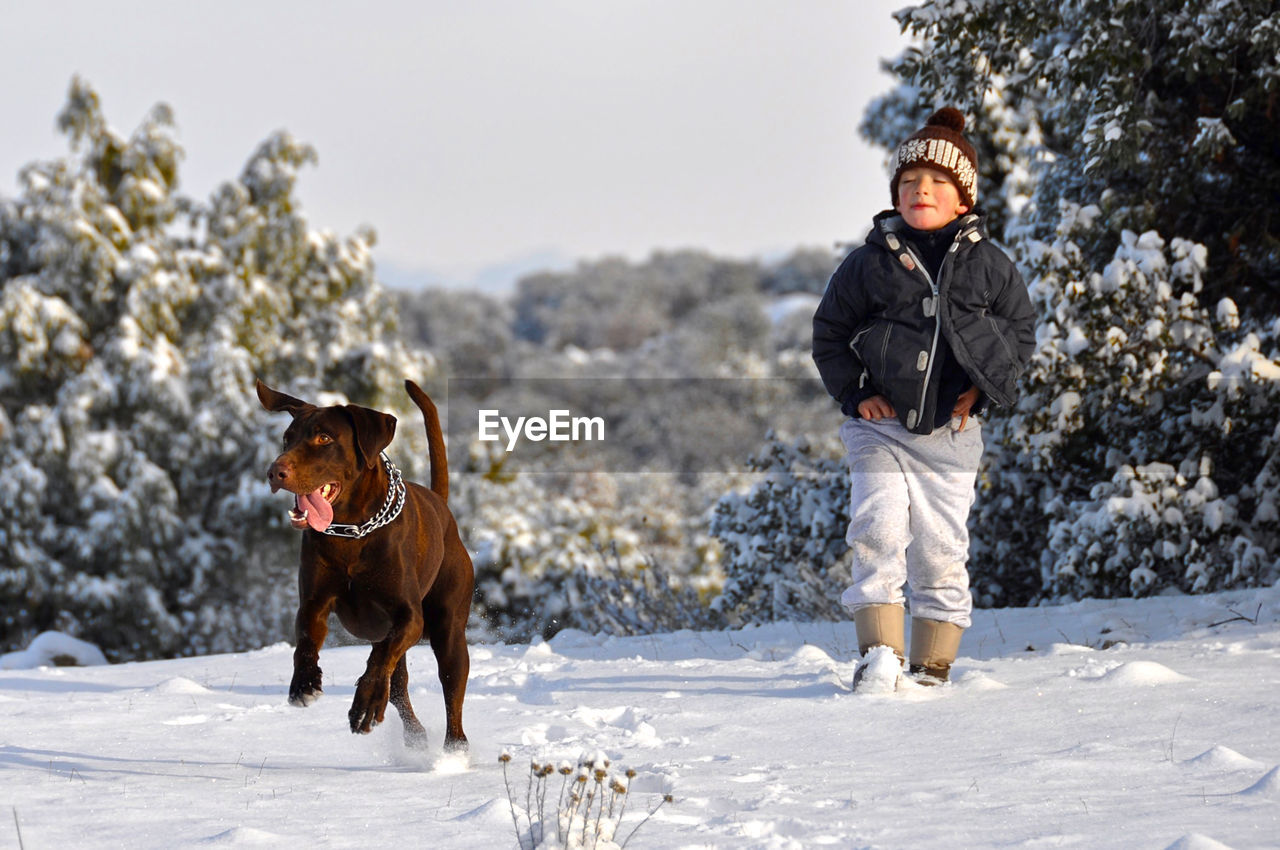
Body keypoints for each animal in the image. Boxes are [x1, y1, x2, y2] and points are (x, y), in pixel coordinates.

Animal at [257, 378, 473, 752]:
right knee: (398, 685)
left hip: (449, 630)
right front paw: (304, 684)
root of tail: (442, 507)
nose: (275, 472)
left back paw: (454, 749)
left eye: (324, 438)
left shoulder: (408, 616)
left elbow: (380, 659)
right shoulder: (314, 602)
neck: (351, 533)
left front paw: (366, 704)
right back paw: (415, 737)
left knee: (450, 688)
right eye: (287, 438)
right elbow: (305, 641)